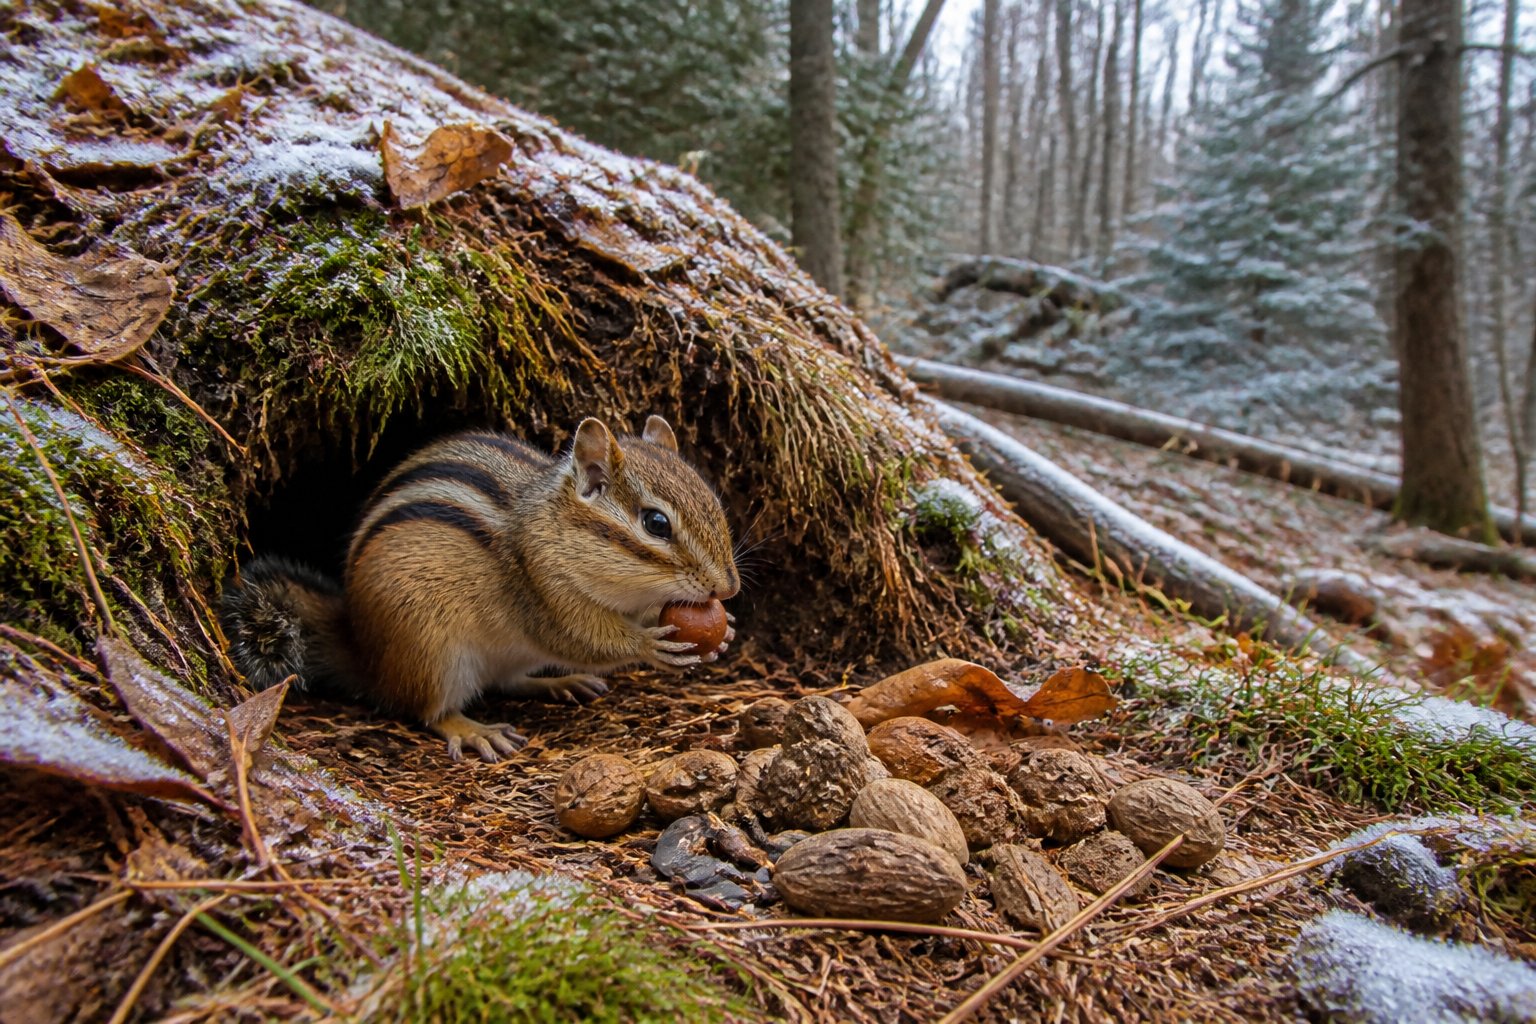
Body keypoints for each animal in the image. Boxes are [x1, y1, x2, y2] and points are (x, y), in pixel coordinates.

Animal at [220, 415, 739, 762]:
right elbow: (582, 639)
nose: (728, 588)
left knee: (507, 681)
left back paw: (558, 682)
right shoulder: (540, 590)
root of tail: (364, 652)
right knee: (427, 710)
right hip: (431, 651)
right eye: (656, 524)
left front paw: (725, 630)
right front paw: (651, 645)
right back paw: (472, 729)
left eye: (716, 503)